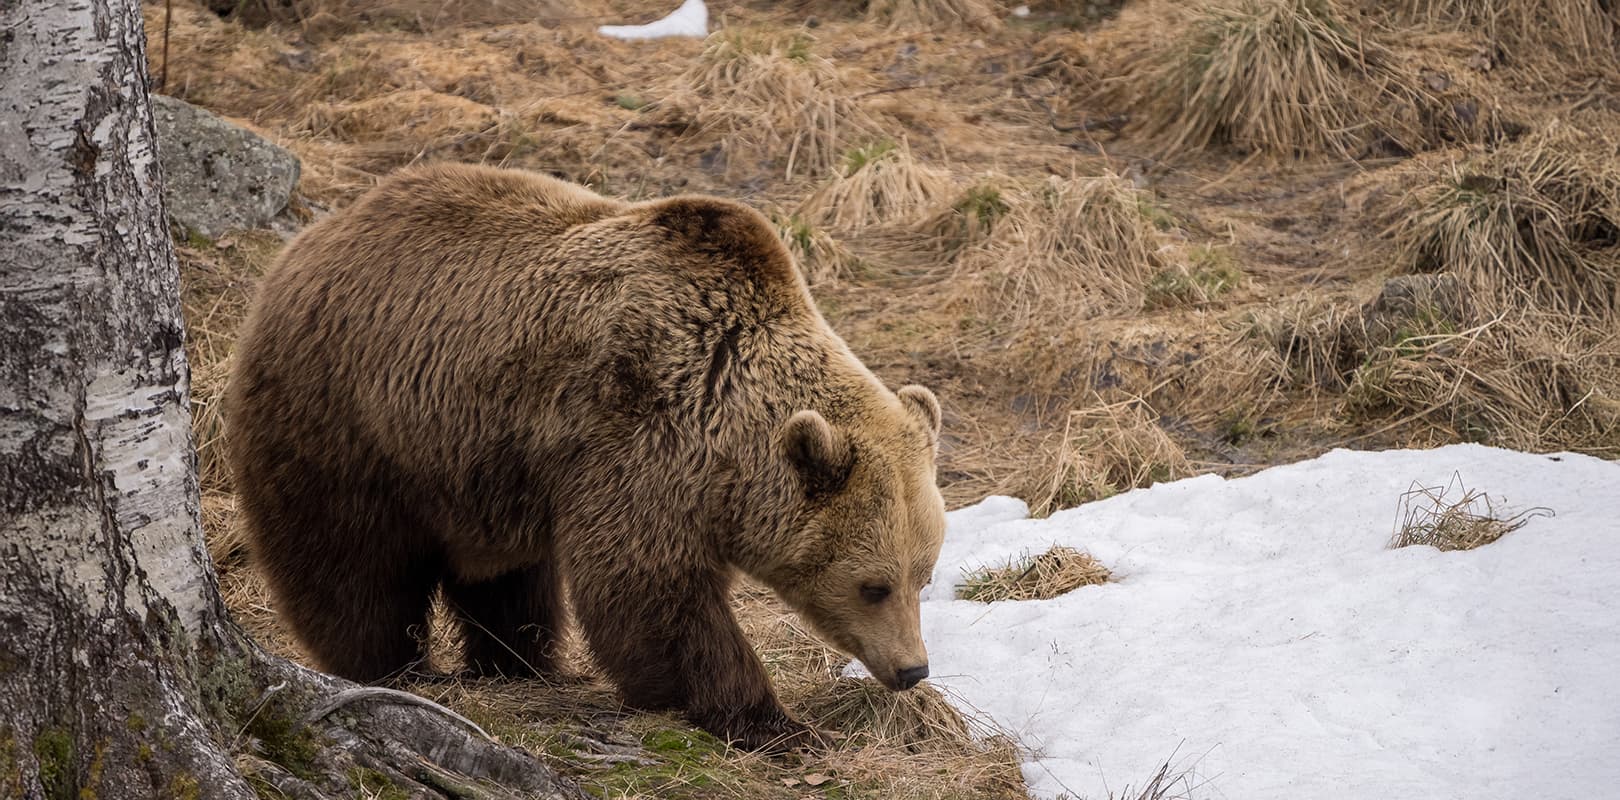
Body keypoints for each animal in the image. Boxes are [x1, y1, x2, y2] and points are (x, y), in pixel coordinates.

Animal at [224, 162, 947, 750]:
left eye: (923, 575)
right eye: (873, 584)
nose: (913, 667)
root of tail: (306, 243)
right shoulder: (640, 427)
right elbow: (648, 588)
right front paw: (770, 721)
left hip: (481, 466)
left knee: (510, 580)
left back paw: (520, 663)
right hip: (349, 417)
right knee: (352, 564)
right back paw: (395, 668)